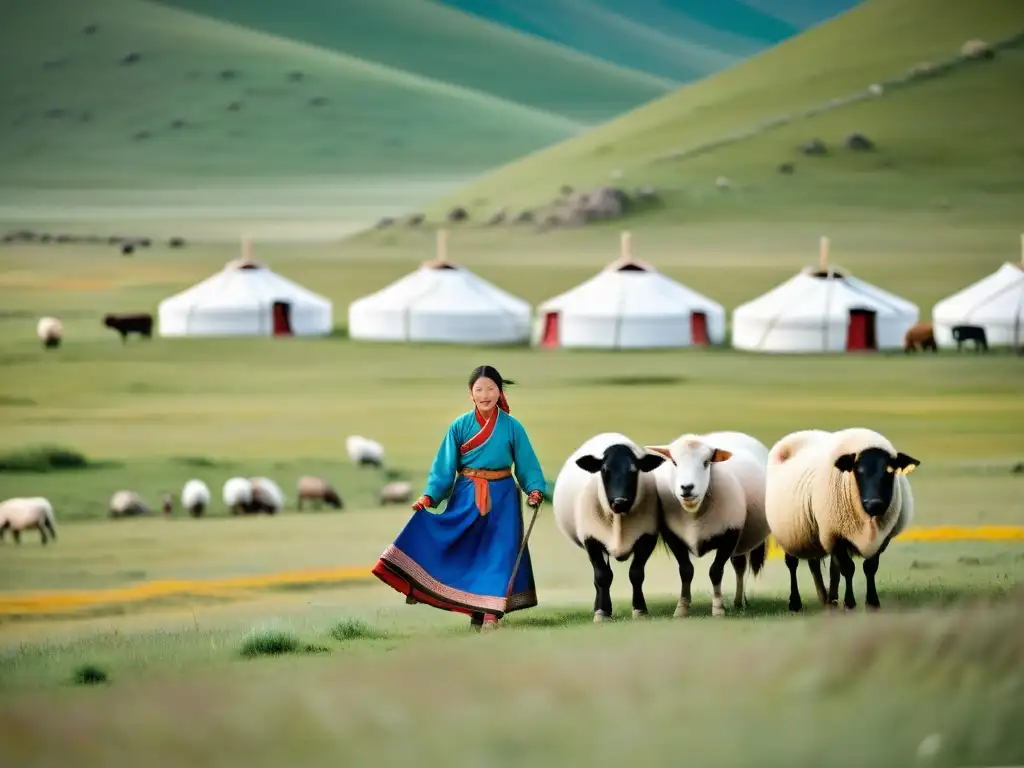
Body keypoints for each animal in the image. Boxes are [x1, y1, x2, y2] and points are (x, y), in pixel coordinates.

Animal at [557, 434, 667, 626]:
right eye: (604, 470)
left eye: (634, 470)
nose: (620, 501)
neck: (619, 520)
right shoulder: (591, 539)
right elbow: (602, 577)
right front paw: (602, 612)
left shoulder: (647, 537)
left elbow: (636, 574)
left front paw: (640, 610)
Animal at [647, 434, 770, 618]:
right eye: (674, 462)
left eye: (706, 462)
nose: (687, 487)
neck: (694, 514)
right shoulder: (672, 535)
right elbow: (686, 571)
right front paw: (682, 608)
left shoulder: (731, 533)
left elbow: (715, 571)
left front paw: (718, 608)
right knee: (739, 565)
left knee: (739, 566)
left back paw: (739, 602)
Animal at [761, 428, 921, 614]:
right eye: (858, 470)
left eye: (890, 471)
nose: (874, 504)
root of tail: (800, 433)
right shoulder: (835, 535)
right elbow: (848, 568)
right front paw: (850, 603)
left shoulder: (883, 538)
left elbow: (869, 567)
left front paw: (872, 603)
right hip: (790, 531)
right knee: (792, 564)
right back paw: (796, 603)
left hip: (814, 532)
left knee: (818, 566)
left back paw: (828, 600)